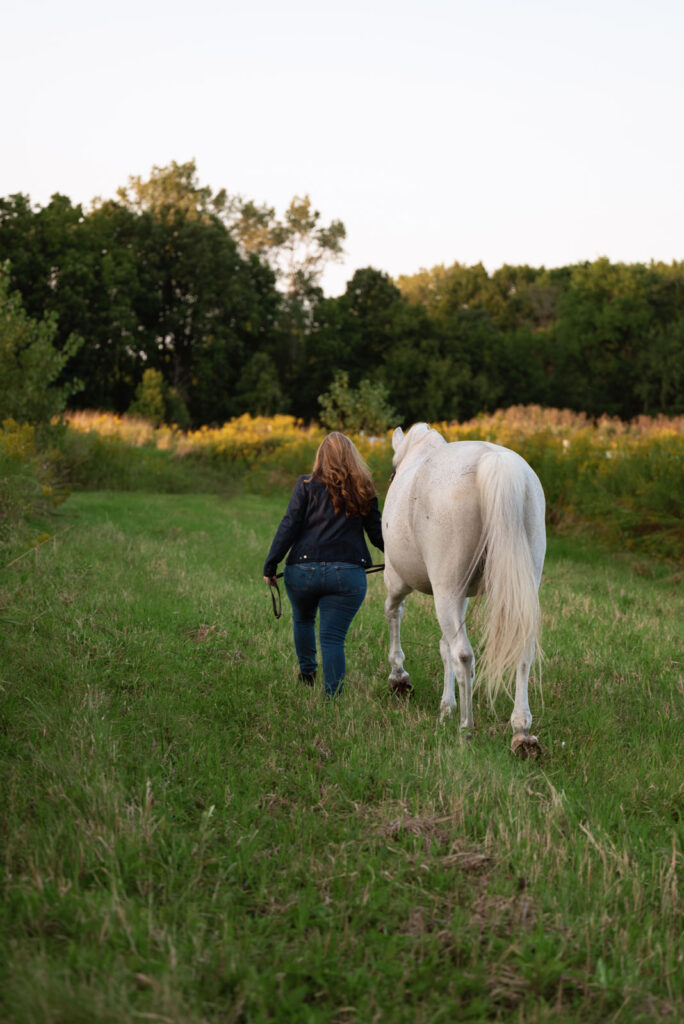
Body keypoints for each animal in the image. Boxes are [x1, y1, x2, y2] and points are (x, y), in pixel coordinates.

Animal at [382, 423, 546, 758]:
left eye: (392, 472)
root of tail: (493, 461)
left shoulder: (397, 580)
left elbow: (395, 614)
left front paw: (399, 678)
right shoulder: (460, 599)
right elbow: (443, 645)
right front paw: (446, 707)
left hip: (445, 590)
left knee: (463, 654)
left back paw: (466, 730)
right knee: (522, 651)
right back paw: (521, 733)